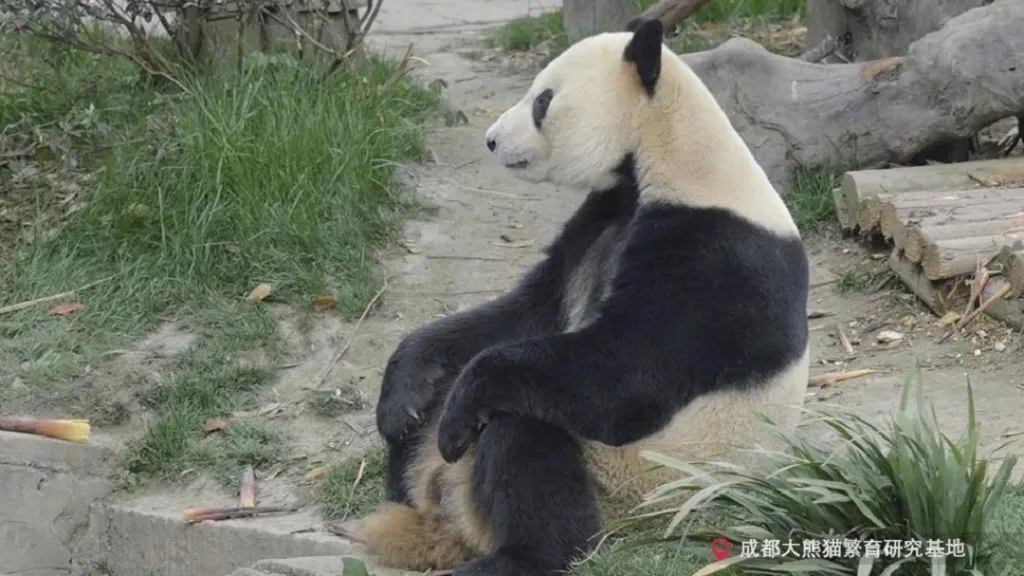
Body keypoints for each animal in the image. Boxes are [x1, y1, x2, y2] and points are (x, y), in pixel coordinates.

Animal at [340, 16, 811, 576]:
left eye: (543, 101)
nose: (492, 140)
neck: (671, 154)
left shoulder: (718, 258)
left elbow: (623, 372)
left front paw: (460, 412)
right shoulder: (603, 215)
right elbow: (528, 313)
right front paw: (402, 395)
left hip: (633, 480)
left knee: (526, 432)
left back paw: (519, 553)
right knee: (439, 415)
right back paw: (408, 470)